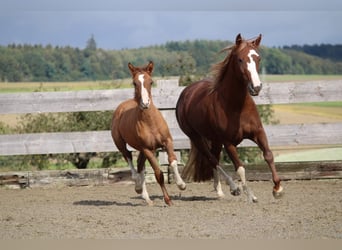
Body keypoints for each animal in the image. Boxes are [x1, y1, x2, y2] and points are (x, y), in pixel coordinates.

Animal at [111, 61, 187, 206]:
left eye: (151, 82)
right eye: (134, 83)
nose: (145, 103)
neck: (150, 122)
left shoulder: (167, 142)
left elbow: (173, 161)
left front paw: (181, 185)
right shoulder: (147, 149)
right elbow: (158, 174)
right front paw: (168, 200)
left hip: (143, 150)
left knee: (140, 166)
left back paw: (146, 197)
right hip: (121, 144)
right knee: (130, 161)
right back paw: (138, 188)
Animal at [176, 33, 284, 201]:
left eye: (258, 58)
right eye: (240, 59)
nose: (256, 87)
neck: (236, 106)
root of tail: (186, 93)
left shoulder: (258, 132)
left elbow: (268, 155)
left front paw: (278, 189)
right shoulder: (229, 143)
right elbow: (240, 168)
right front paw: (250, 195)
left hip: (214, 140)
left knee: (215, 158)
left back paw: (219, 190)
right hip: (197, 137)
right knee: (212, 159)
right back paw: (233, 188)